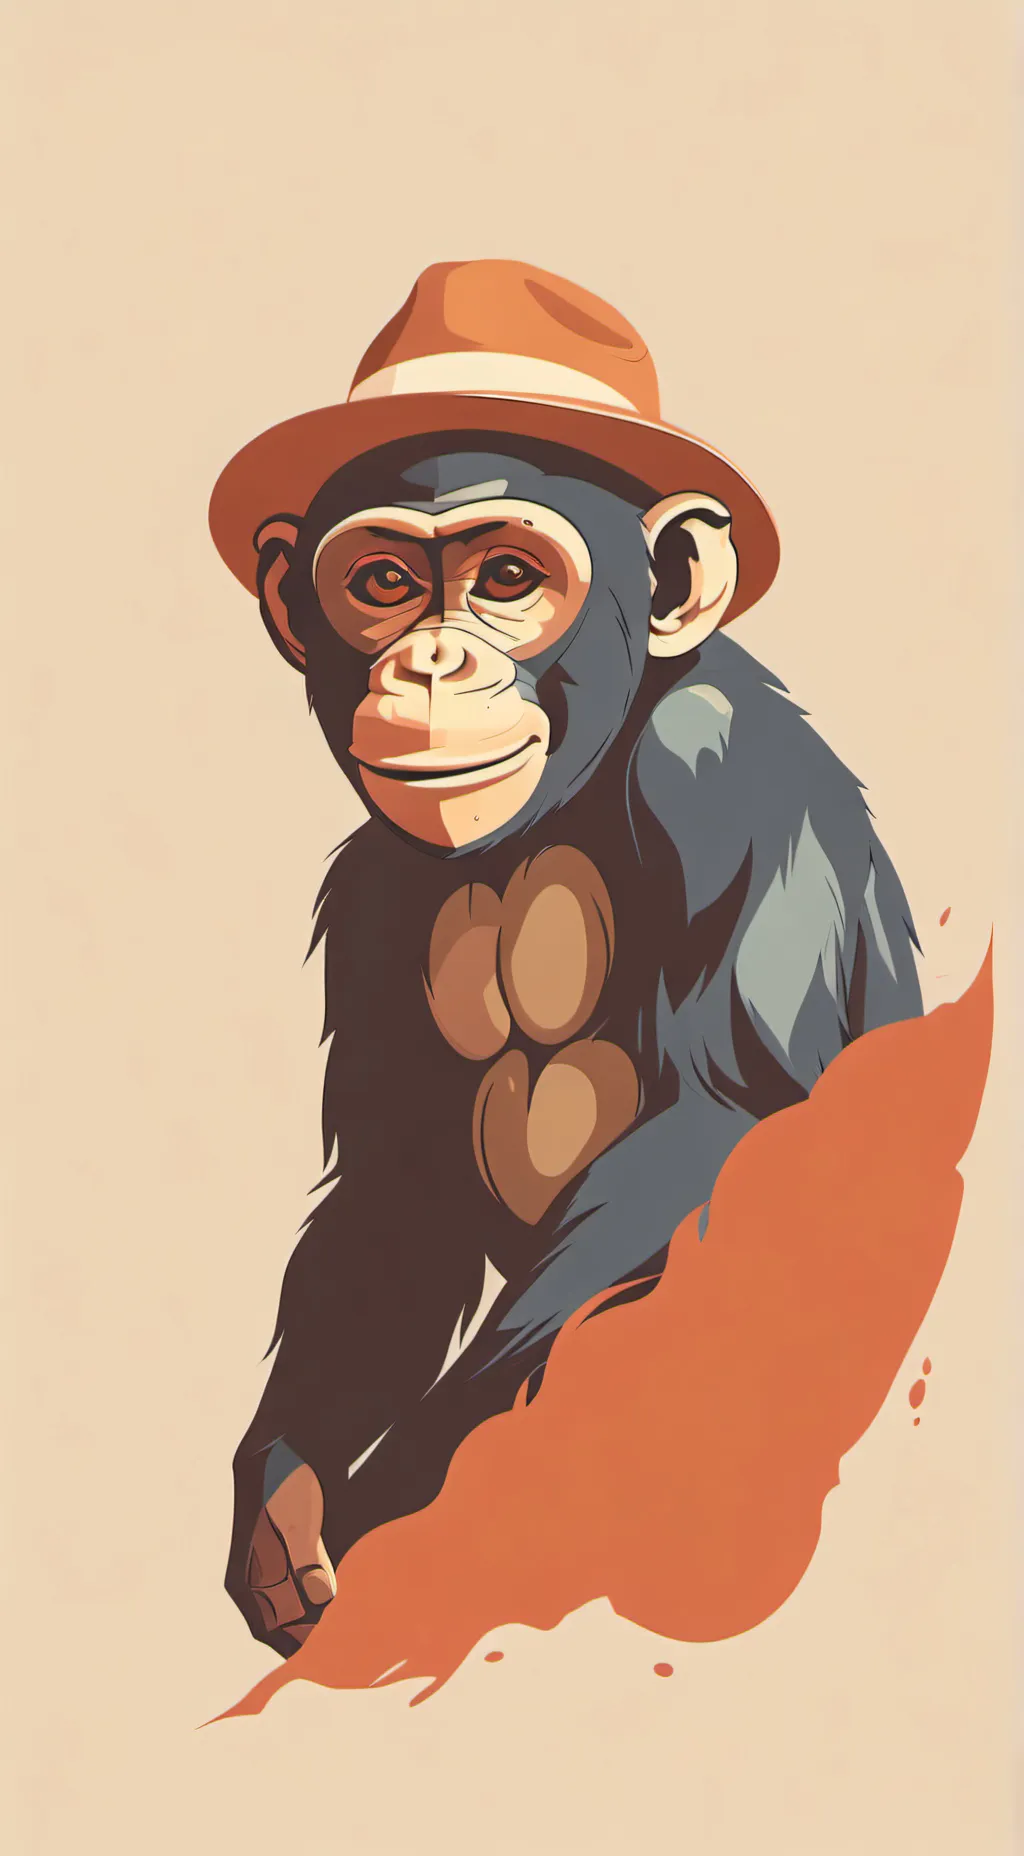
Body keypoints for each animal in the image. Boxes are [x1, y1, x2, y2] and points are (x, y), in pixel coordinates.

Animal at [218, 431, 922, 1658]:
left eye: (506, 578)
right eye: (383, 583)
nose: (431, 664)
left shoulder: (717, 778)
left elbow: (720, 1131)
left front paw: (382, 1528)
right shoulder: (371, 886)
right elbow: (398, 1205)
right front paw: (285, 1500)